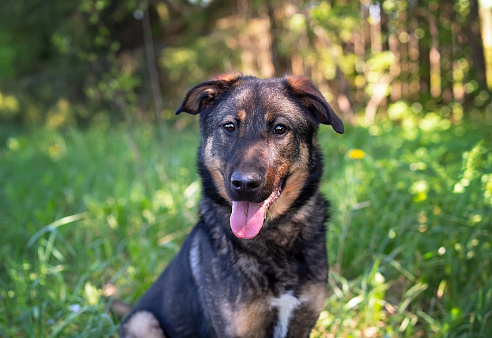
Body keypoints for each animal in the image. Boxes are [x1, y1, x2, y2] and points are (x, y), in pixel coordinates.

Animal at [120, 72, 342, 336]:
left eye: (280, 129)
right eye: (229, 127)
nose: (244, 184)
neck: (272, 236)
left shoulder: (302, 320)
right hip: (141, 320)